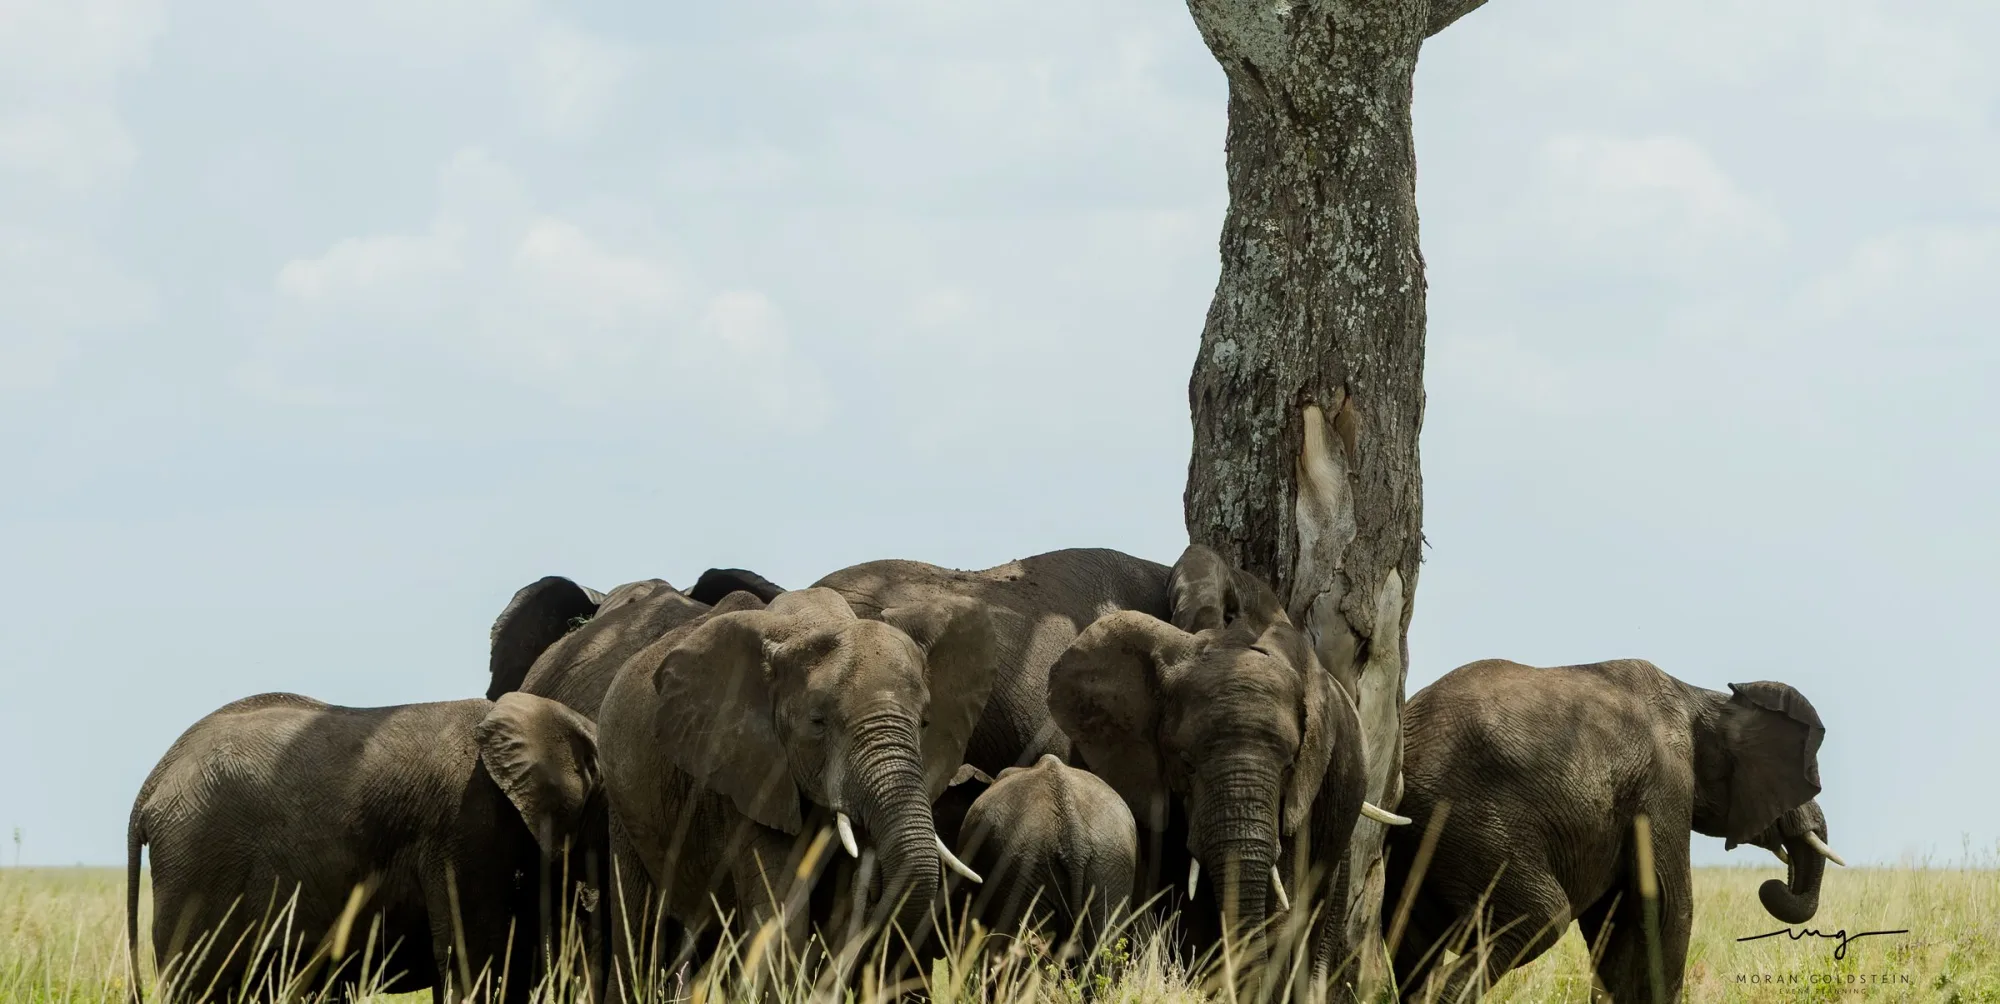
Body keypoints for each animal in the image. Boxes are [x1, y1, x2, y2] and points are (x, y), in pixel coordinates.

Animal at [591, 587, 995, 998]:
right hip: (622, 800)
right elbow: (782, 907)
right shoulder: (748, 775)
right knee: (638, 924)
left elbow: (841, 912)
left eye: (924, 722)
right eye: (818, 722)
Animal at [1382, 659, 1843, 1003]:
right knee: (1544, 914)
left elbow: (1616, 916)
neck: (1701, 698)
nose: (1772, 885)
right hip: (1467, 823)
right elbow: (1666, 903)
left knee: (1411, 937)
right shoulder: (1664, 782)